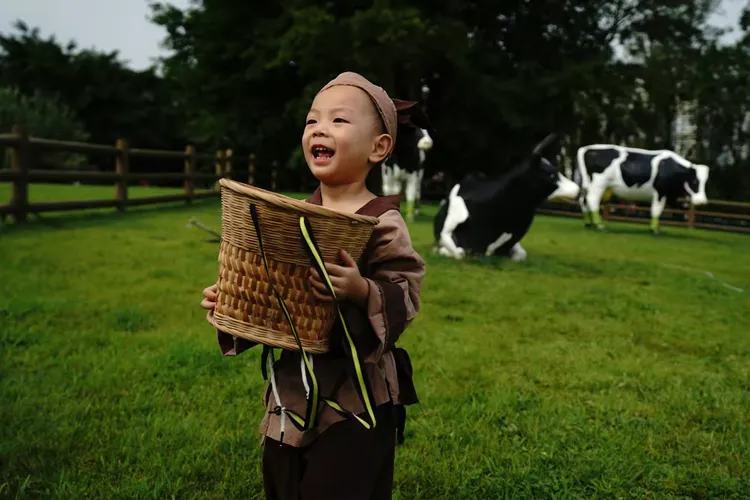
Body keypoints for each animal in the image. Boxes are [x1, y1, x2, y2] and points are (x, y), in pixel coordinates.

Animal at [580, 144, 712, 231]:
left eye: (706, 183)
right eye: (695, 181)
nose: (702, 201)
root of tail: (588, 148)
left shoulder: (670, 195)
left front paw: (657, 227)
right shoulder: (660, 192)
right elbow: (656, 210)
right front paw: (654, 229)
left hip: (592, 185)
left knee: (584, 201)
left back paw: (589, 224)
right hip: (598, 184)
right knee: (592, 200)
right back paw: (599, 225)